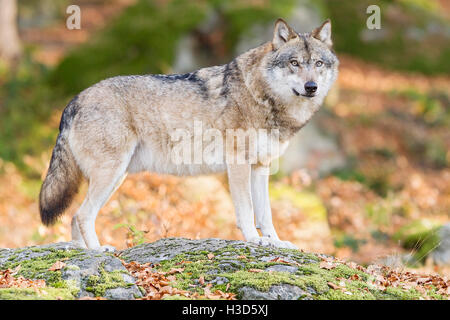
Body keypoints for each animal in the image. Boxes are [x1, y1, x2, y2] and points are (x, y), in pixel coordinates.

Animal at [39, 18, 338, 251]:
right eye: (294, 63)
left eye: (318, 63)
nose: (311, 87)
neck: (262, 97)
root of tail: (74, 100)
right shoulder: (238, 165)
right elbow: (247, 210)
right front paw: (254, 240)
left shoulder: (261, 167)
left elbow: (266, 214)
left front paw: (275, 242)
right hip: (111, 174)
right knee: (82, 215)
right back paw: (99, 251)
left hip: (116, 177)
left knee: (74, 217)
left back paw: (84, 251)